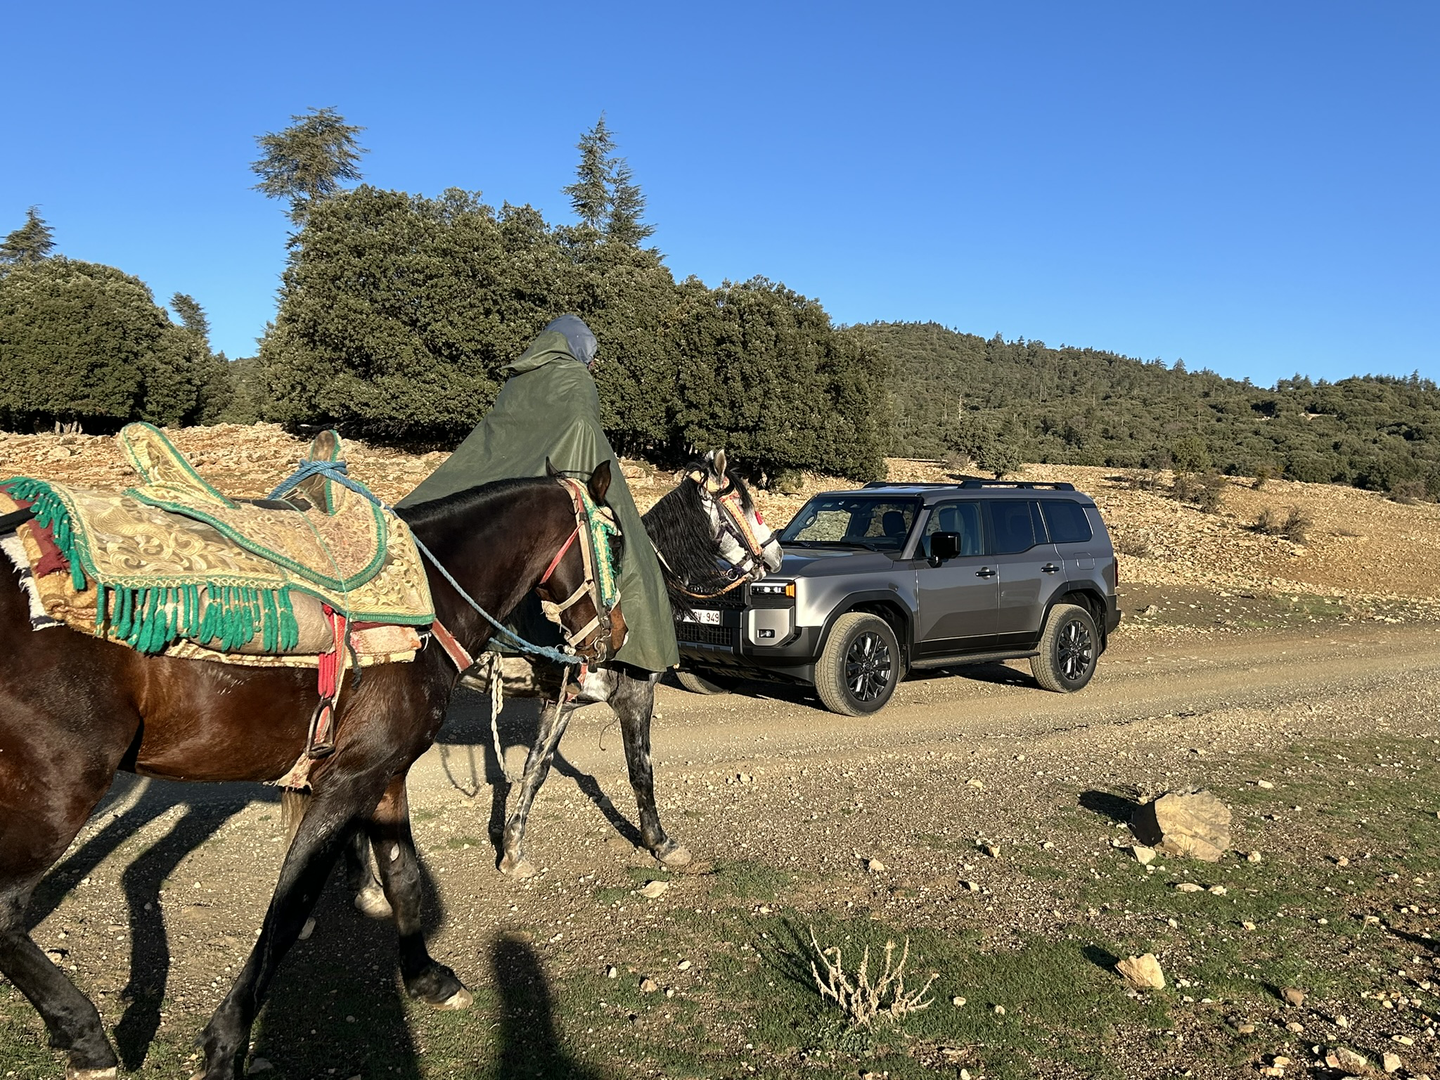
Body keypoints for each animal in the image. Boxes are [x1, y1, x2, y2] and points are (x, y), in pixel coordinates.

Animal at [2, 466, 627, 1080]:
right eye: (617, 544)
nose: (616, 638)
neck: (431, 604)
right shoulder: (344, 785)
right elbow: (288, 909)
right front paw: (225, 1047)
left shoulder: (384, 776)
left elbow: (403, 877)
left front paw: (427, 978)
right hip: (59, 792)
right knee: (7, 913)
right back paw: (88, 1040)